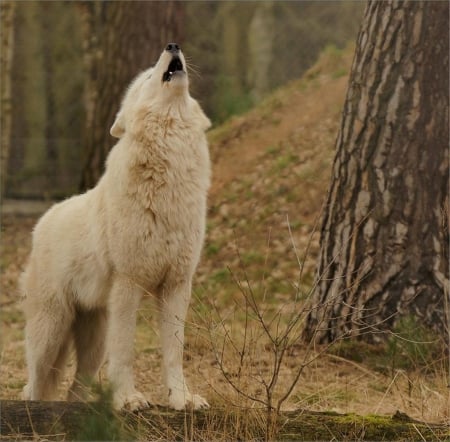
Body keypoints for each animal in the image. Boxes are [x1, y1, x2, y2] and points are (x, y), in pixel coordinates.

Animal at [20, 44, 211, 410]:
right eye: (149, 76)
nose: (172, 45)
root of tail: (44, 220)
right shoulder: (128, 284)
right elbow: (124, 352)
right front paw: (128, 399)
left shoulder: (177, 286)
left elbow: (174, 353)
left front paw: (182, 399)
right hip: (50, 332)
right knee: (34, 385)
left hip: (92, 337)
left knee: (75, 387)